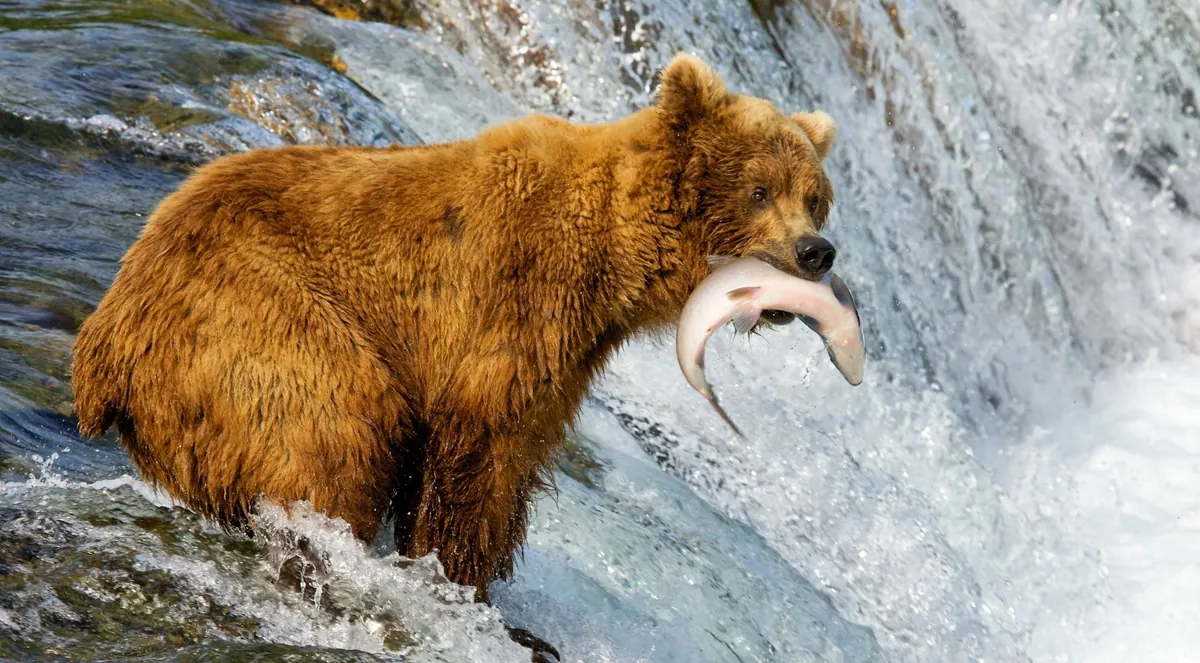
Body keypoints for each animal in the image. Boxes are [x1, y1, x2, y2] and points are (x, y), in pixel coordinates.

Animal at [71, 53, 839, 608]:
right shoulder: (515, 299)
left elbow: (515, 459)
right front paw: (453, 576)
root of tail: (102, 341)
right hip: (257, 314)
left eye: (814, 198)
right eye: (760, 189)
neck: (616, 256)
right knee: (338, 428)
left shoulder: (568, 352)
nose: (816, 252)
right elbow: (479, 451)